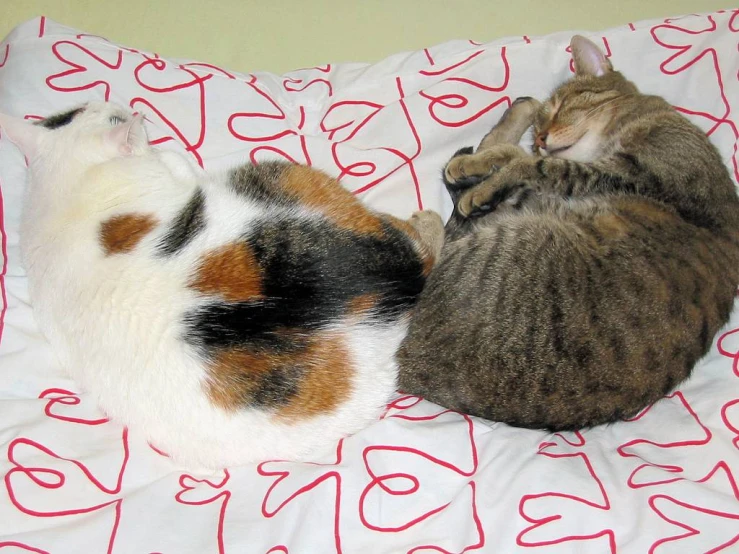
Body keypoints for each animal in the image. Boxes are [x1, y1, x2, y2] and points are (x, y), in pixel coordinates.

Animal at [0, 102, 446, 466]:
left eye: (83, 108)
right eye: (116, 117)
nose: (124, 104)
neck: (68, 185)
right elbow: (175, 160)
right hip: (280, 171)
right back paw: (428, 220)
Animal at [398, 35, 739, 432]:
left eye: (561, 106)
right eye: (540, 131)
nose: (542, 137)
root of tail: (408, 367)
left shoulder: (630, 173)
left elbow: (530, 163)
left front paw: (484, 169)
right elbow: (522, 160)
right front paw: (489, 157)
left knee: (435, 246)